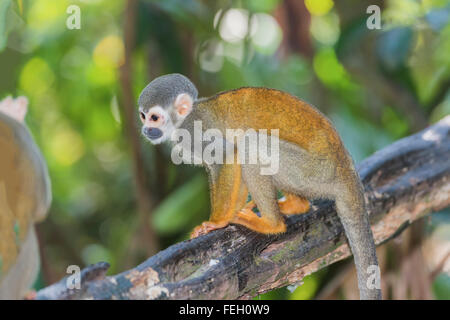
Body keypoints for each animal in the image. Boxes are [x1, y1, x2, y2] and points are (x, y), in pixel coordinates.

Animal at [139, 74, 382, 298]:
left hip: (313, 171)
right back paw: (295, 206)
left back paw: (271, 223)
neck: (185, 118)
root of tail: (345, 166)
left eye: (154, 117)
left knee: (250, 143)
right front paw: (233, 211)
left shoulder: (193, 133)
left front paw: (217, 222)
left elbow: (228, 155)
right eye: (143, 116)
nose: (145, 129)